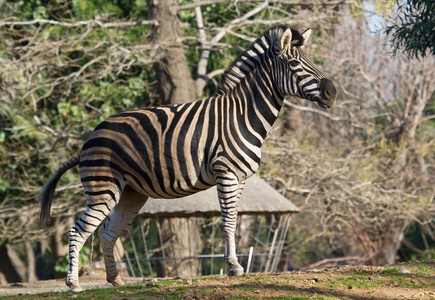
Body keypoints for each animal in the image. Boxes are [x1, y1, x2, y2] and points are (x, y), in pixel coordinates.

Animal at [39, 24, 338, 292]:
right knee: (77, 231)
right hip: (104, 189)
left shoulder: (241, 178)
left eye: (311, 61)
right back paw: (73, 284)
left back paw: (115, 280)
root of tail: (89, 138)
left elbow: (235, 219)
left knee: (106, 232)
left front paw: (233, 264)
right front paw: (234, 267)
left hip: (131, 193)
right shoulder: (226, 173)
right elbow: (228, 220)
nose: (332, 92)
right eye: (295, 64)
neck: (243, 114)